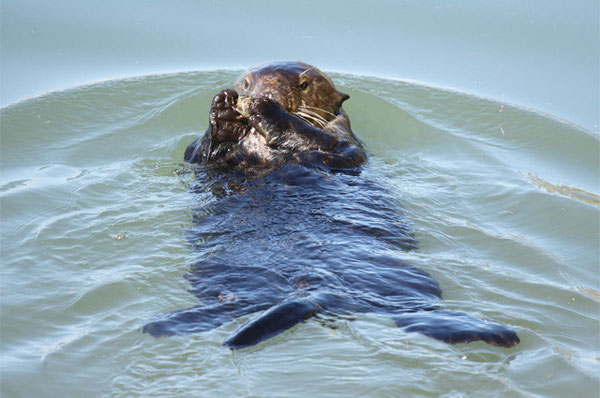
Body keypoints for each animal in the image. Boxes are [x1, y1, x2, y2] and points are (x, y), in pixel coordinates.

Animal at [142, 61, 520, 348]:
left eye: (305, 84)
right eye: (247, 82)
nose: (263, 94)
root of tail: (312, 289)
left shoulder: (344, 142)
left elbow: (329, 146)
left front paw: (267, 110)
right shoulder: (209, 161)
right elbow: (200, 155)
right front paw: (222, 106)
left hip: (406, 281)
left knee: (413, 310)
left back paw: (488, 331)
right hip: (213, 276)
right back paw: (169, 325)